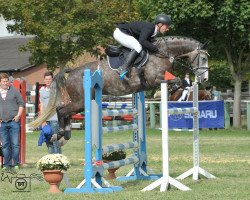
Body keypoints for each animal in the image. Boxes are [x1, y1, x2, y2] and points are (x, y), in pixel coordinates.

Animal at [28, 36, 209, 144]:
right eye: (204, 58)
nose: (204, 79)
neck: (161, 54)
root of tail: (72, 71)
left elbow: (180, 82)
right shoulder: (154, 80)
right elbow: (176, 80)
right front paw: (175, 88)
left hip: (81, 103)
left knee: (67, 113)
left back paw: (65, 135)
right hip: (80, 101)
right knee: (61, 110)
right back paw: (59, 134)